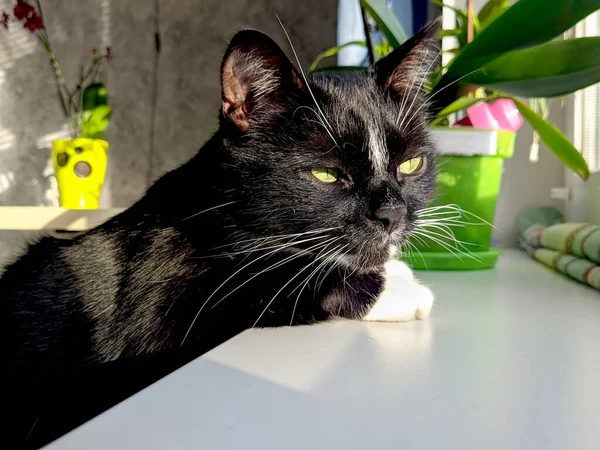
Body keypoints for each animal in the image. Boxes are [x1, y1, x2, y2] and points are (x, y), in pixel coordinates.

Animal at [2, 22, 438, 448]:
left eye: (411, 164)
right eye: (327, 174)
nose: (393, 213)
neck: (220, 222)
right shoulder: (159, 313)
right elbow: (271, 287)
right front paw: (395, 288)